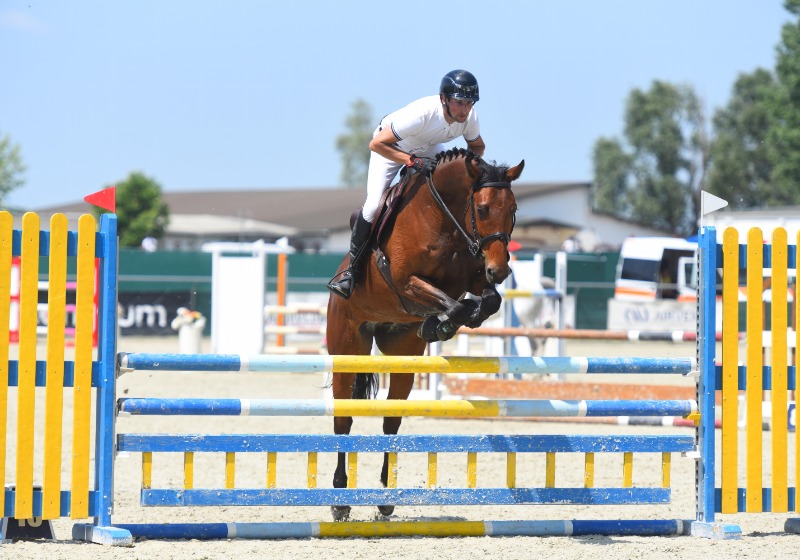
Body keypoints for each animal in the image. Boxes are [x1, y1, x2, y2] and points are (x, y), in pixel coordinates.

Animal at [324, 149, 524, 520]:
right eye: (482, 209)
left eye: (513, 209)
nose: (500, 269)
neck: (443, 219)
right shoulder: (406, 282)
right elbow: (454, 306)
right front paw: (442, 322)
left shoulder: (472, 279)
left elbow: (487, 300)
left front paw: (439, 323)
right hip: (346, 349)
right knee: (343, 421)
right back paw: (340, 501)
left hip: (402, 356)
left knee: (390, 423)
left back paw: (386, 499)